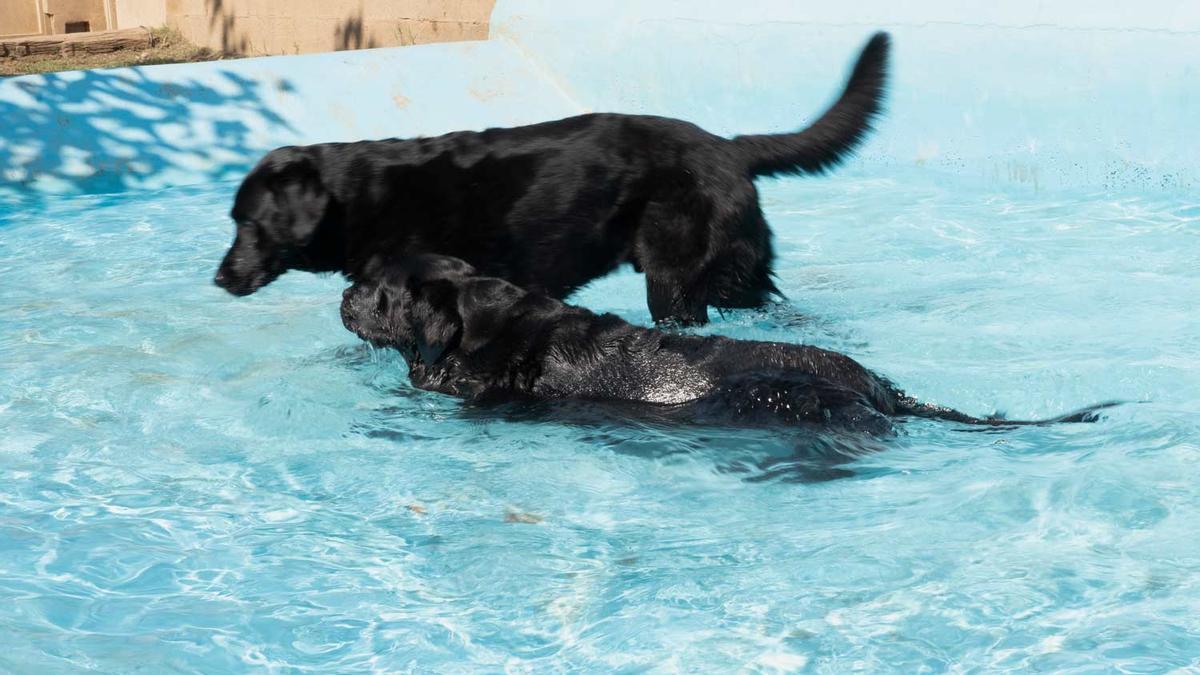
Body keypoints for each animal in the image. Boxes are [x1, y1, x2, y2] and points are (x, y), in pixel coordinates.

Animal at [216, 31, 892, 324]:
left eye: (249, 222)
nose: (220, 278)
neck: (358, 198)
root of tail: (728, 147)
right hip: (734, 273)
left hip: (676, 281)